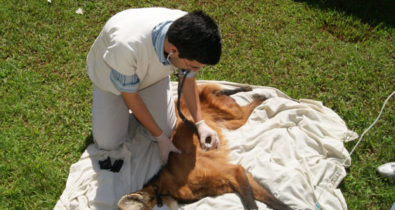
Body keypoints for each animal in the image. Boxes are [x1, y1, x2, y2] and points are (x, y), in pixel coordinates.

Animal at [117, 83, 290, 210]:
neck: (169, 189)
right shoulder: (229, 182)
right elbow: (269, 199)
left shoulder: (233, 171)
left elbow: (253, 204)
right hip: (231, 122)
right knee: (230, 101)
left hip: (232, 115)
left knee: (236, 102)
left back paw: (257, 95)